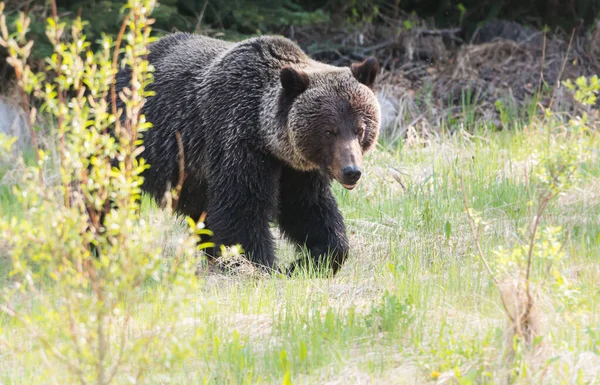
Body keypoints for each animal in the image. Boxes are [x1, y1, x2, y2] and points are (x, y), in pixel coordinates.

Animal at [113, 32, 380, 272]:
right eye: (329, 131)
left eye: (360, 129)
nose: (351, 171)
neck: (266, 136)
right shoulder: (238, 142)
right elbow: (242, 209)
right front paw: (256, 265)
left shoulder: (297, 170)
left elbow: (308, 207)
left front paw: (311, 260)